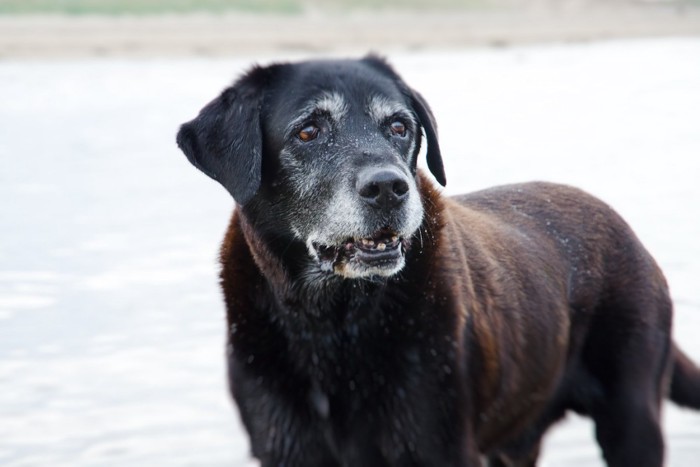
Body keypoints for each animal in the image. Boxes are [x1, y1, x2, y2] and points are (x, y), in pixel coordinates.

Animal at [175, 56, 700, 466]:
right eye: (308, 131)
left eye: (399, 127)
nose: (388, 187)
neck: (333, 322)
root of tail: (625, 228)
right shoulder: (285, 449)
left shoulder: (438, 446)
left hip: (632, 418)